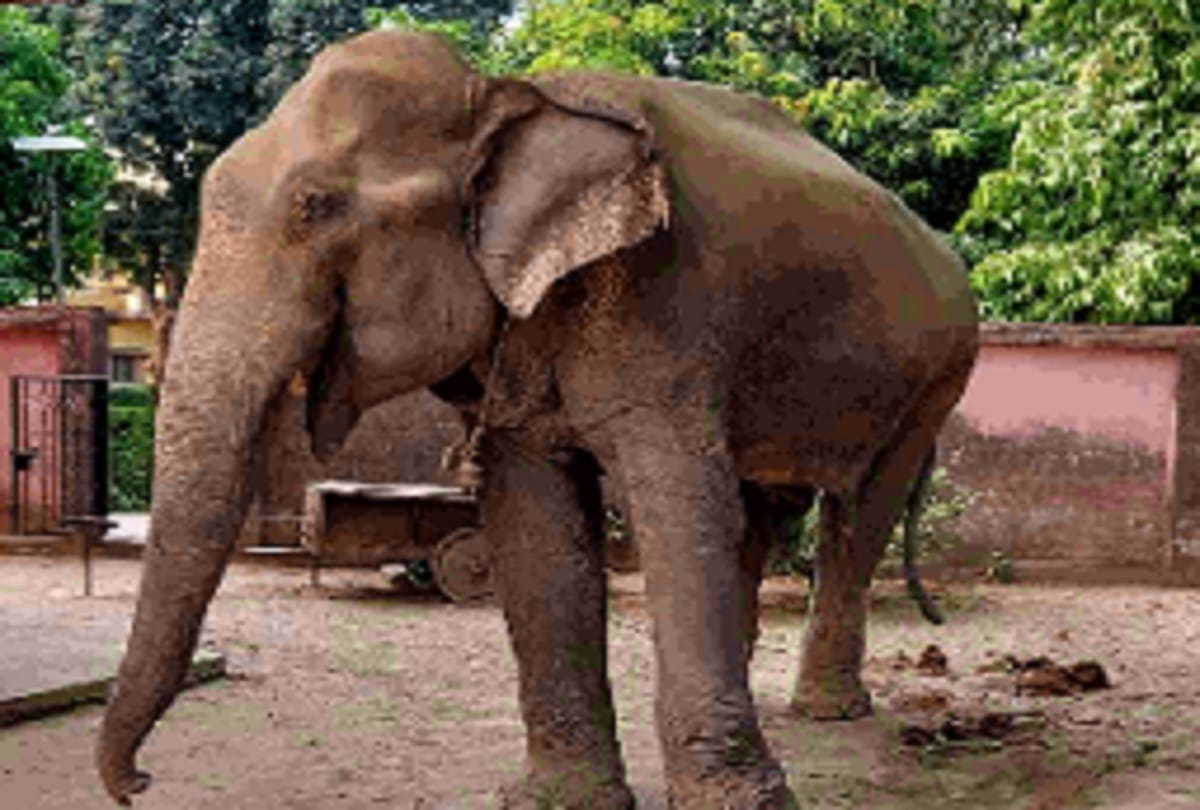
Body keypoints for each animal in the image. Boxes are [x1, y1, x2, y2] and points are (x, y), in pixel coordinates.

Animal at [97, 31, 978, 809]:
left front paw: (744, 802)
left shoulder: (662, 300)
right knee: (763, 510)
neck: (503, 92)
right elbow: (535, 524)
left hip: (940, 369)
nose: (138, 784)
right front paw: (564, 801)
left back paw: (828, 711)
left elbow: (678, 508)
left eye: (314, 206)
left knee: (858, 515)